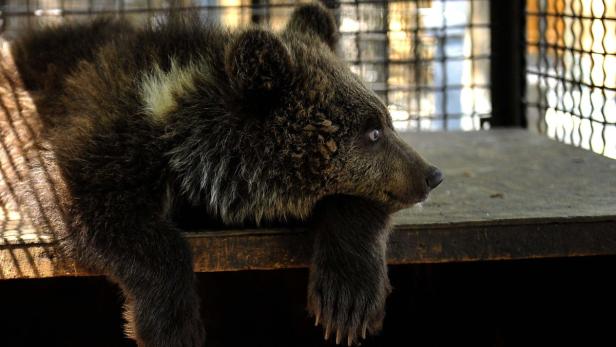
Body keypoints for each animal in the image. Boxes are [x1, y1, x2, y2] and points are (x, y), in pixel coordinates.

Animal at [10, 3, 442, 347]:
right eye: (373, 131)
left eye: (385, 120)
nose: (431, 174)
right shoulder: (106, 139)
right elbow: (94, 206)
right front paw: (171, 326)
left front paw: (347, 301)